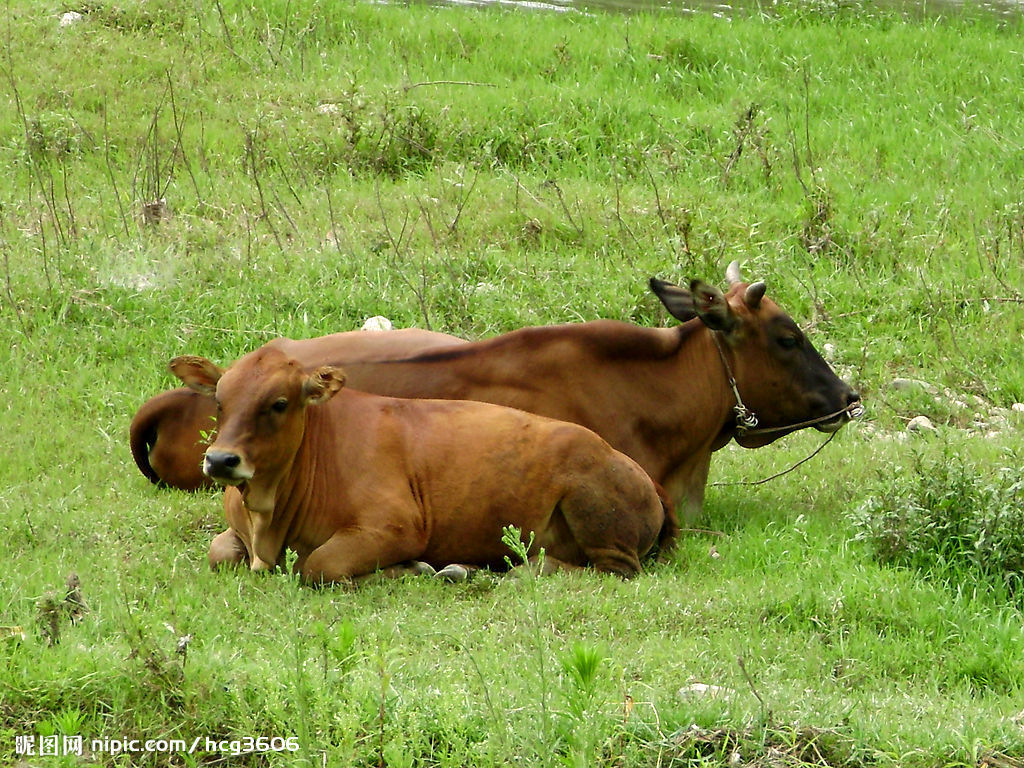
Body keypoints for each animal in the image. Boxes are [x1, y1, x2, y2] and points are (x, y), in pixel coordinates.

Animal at [172, 348, 675, 581]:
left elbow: (318, 566)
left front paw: (408, 569)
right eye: (219, 401)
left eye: (278, 403)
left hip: (597, 516)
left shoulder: (394, 527)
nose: (221, 460)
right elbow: (220, 554)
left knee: (607, 569)